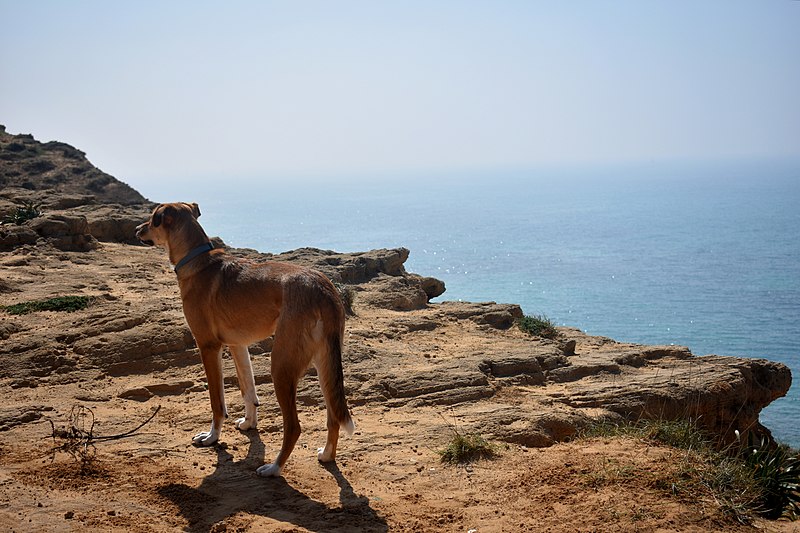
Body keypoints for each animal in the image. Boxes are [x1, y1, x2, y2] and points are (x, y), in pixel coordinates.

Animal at [134, 202, 354, 476]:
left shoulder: (209, 347)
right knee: (333, 416)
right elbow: (248, 391)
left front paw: (211, 437)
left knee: (294, 426)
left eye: (154, 219)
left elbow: (217, 402)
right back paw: (326, 455)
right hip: (325, 364)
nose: (136, 230)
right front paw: (249, 423)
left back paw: (273, 468)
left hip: (281, 366)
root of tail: (323, 289)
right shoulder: (238, 346)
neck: (197, 260)